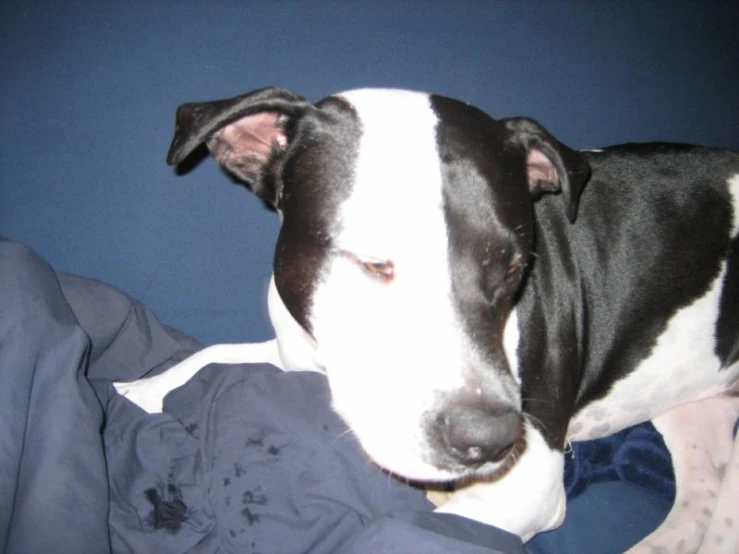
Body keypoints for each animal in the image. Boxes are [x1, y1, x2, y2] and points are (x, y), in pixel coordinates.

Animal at [112, 88, 736, 548]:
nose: (488, 439)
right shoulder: (296, 351)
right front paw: (135, 391)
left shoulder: (526, 489)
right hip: (692, 414)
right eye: (373, 263)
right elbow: (210, 356)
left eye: (515, 267)